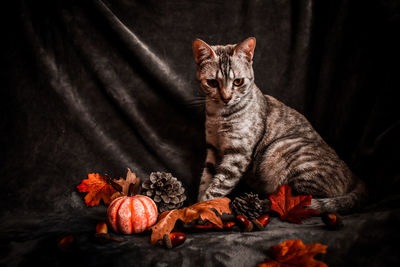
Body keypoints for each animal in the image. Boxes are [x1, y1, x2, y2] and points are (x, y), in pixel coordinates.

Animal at [192, 37, 368, 215]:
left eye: (238, 82)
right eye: (212, 82)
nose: (226, 98)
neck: (219, 116)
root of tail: (354, 177)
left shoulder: (238, 154)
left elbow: (219, 185)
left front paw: (201, 208)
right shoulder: (213, 149)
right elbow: (206, 179)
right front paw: (197, 204)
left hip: (284, 150)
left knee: (300, 202)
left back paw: (261, 204)